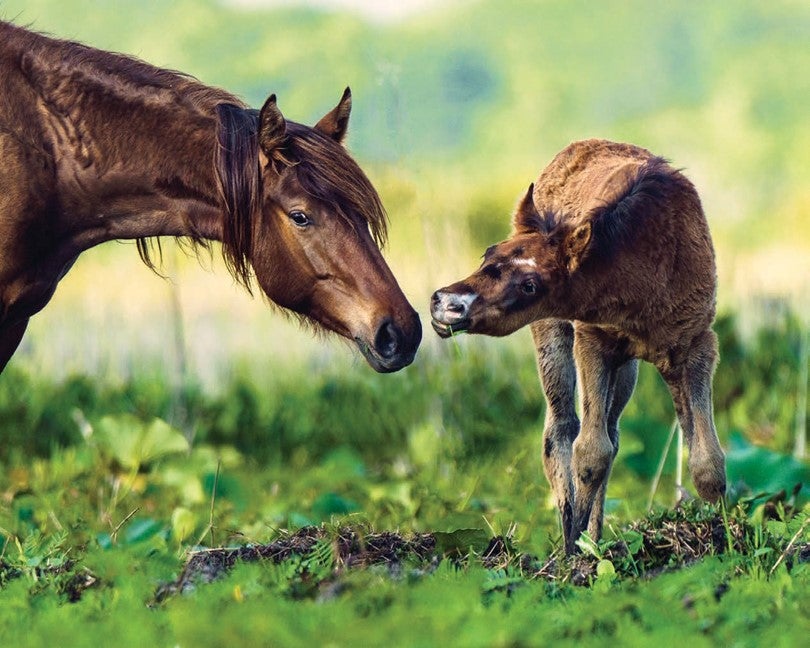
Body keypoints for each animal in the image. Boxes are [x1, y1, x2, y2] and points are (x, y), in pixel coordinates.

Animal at [430, 139, 724, 556]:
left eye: (531, 285)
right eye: (488, 253)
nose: (445, 303)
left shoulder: (697, 344)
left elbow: (706, 458)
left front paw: (724, 534)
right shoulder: (592, 339)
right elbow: (589, 451)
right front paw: (575, 550)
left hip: (628, 366)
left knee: (613, 432)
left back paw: (594, 536)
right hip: (553, 331)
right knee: (562, 427)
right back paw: (576, 536)